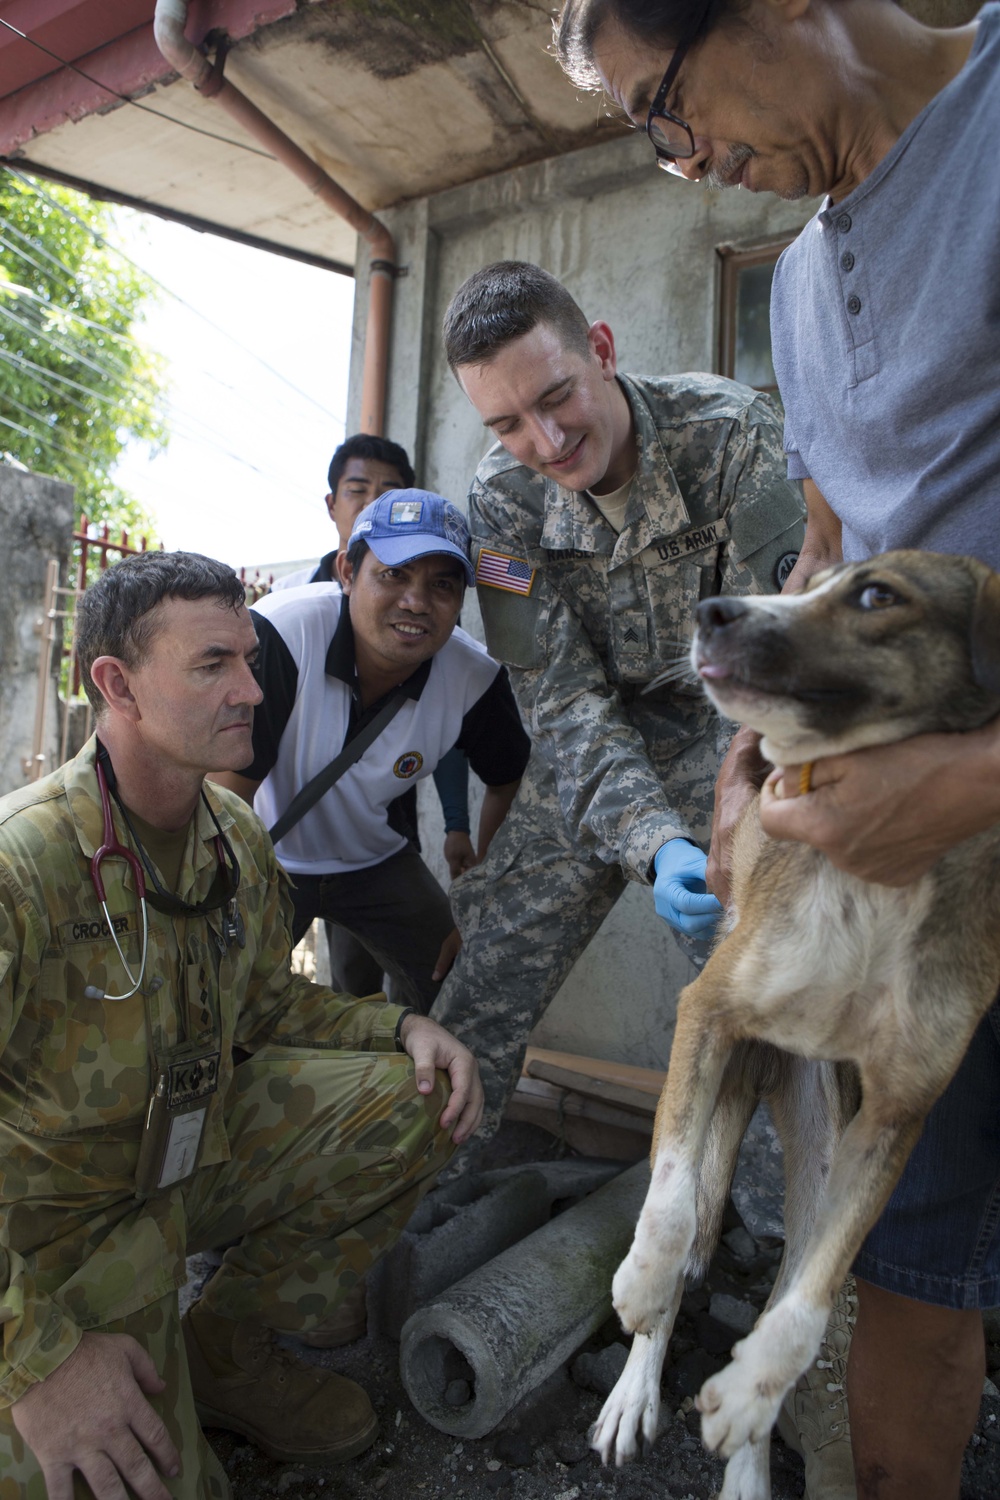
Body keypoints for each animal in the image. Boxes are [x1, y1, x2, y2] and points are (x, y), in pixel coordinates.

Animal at [590, 552, 1000, 1500]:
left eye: (878, 595)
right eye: (812, 579)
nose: (711, 610)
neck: (875, 880)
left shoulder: (893, 1118)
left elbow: (813, 1297)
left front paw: (752, 1394)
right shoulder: (706, 1013)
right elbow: (667, 1208)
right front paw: (641, 1284)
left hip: (817, 1151)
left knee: (789, 1273)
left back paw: (747, 1465)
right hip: (720, 1098)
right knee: (687, 1213)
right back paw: (635, 1383)